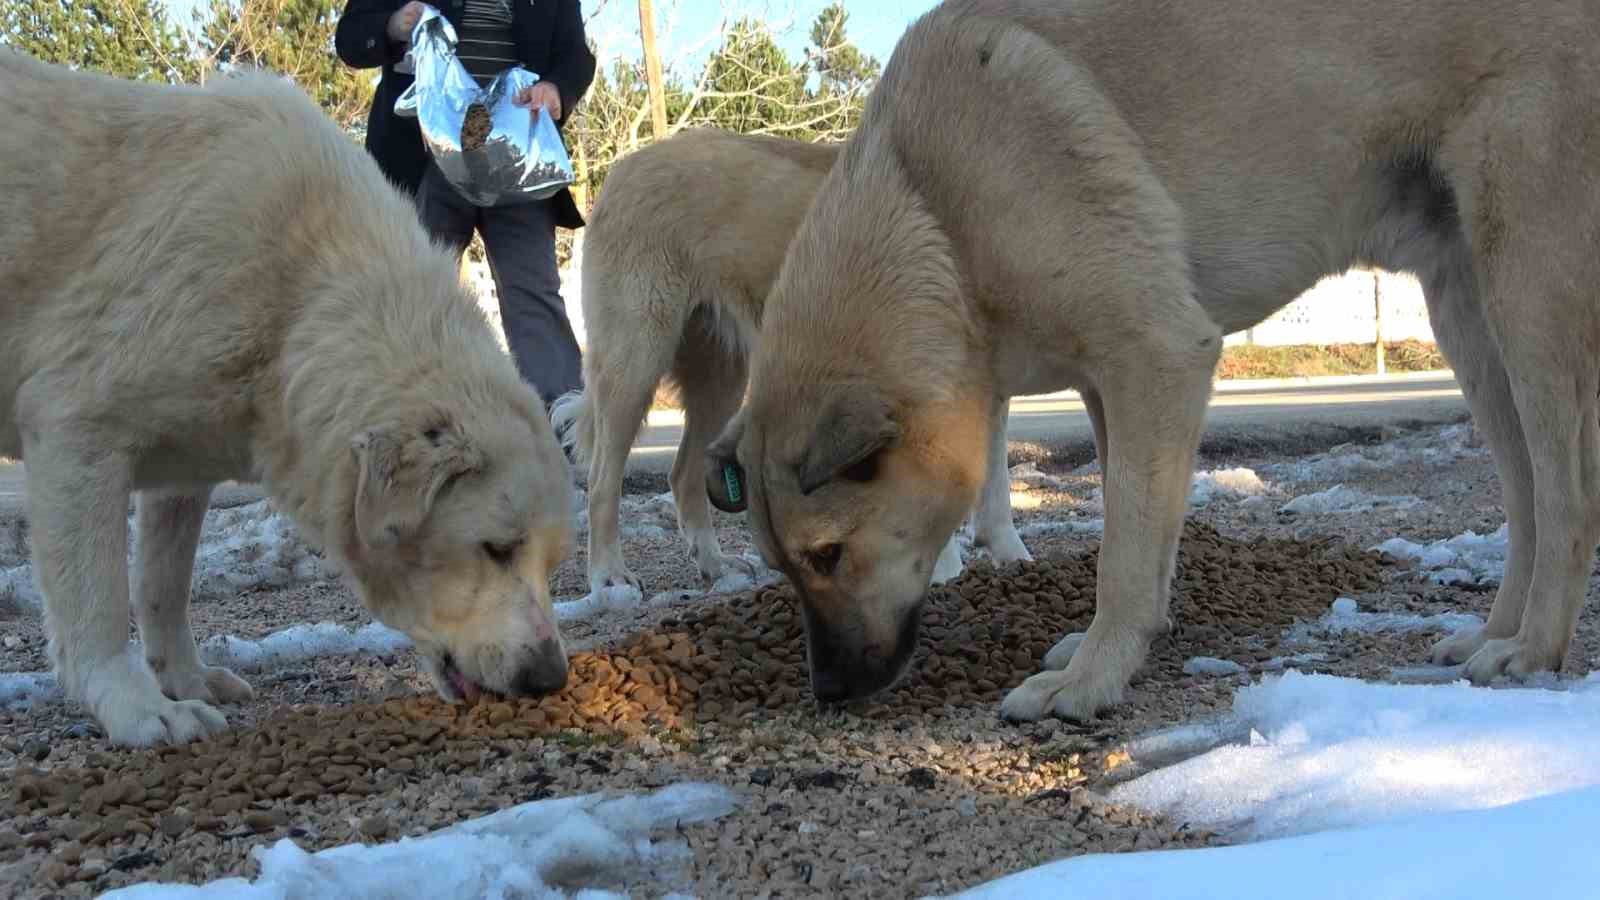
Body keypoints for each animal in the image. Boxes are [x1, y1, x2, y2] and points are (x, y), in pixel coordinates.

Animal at [0, 52, 576, 746]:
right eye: (496, 548)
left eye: (553, 562)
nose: (550, 678)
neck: (300, 303)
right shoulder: (75, 432)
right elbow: (99, 605)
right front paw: (138, 708)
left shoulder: (182, 477)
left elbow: (164, 585)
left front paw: (184, 677)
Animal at [550, 129, 1024, 595]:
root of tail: (626, 166)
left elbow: (995, 487)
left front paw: (1013, 560)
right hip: (636, 363)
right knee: (602, 479)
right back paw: (609, 576)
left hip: (721, 379)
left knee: (683, 474)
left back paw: (716, 566)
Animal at [713, 0, 1600, 714]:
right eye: (783, 564)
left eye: (828, 553)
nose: (829, 691)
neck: (934, 210)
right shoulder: (1112, 388)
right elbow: (1142, 530)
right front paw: (1117, 648)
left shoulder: (1158, 357)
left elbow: (1125, 553)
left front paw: (1091, 680)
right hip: (1470, 322)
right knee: (1525, 497)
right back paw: (1493, 633)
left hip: (1526, 301)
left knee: (1566, 500)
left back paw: (1535, 648)